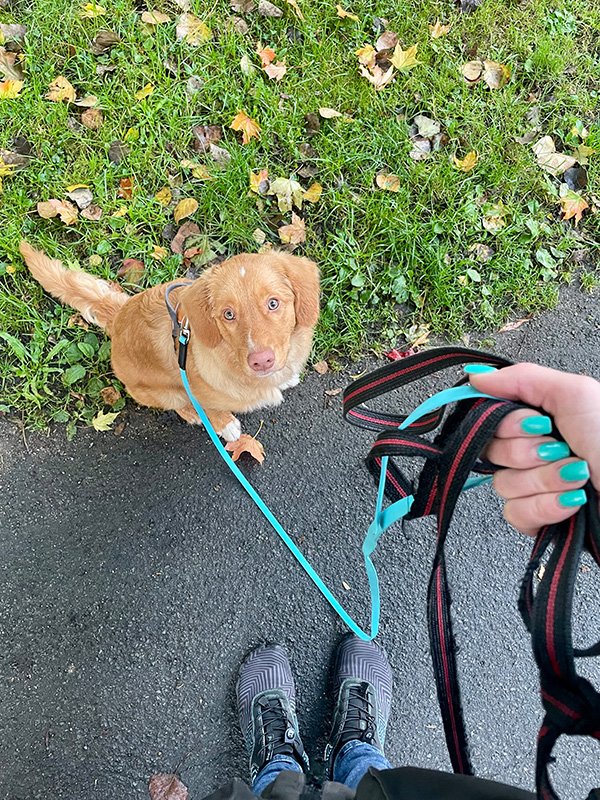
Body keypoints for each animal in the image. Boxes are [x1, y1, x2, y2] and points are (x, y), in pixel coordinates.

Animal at [19, 241, 320, 441]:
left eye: (273, 303)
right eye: (228, 314)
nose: (261, 361)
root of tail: (118, 316)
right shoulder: (198, 389)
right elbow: (212, 409)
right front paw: (225, 426)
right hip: (162, 391)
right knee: (178, 404)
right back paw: (193, 414)